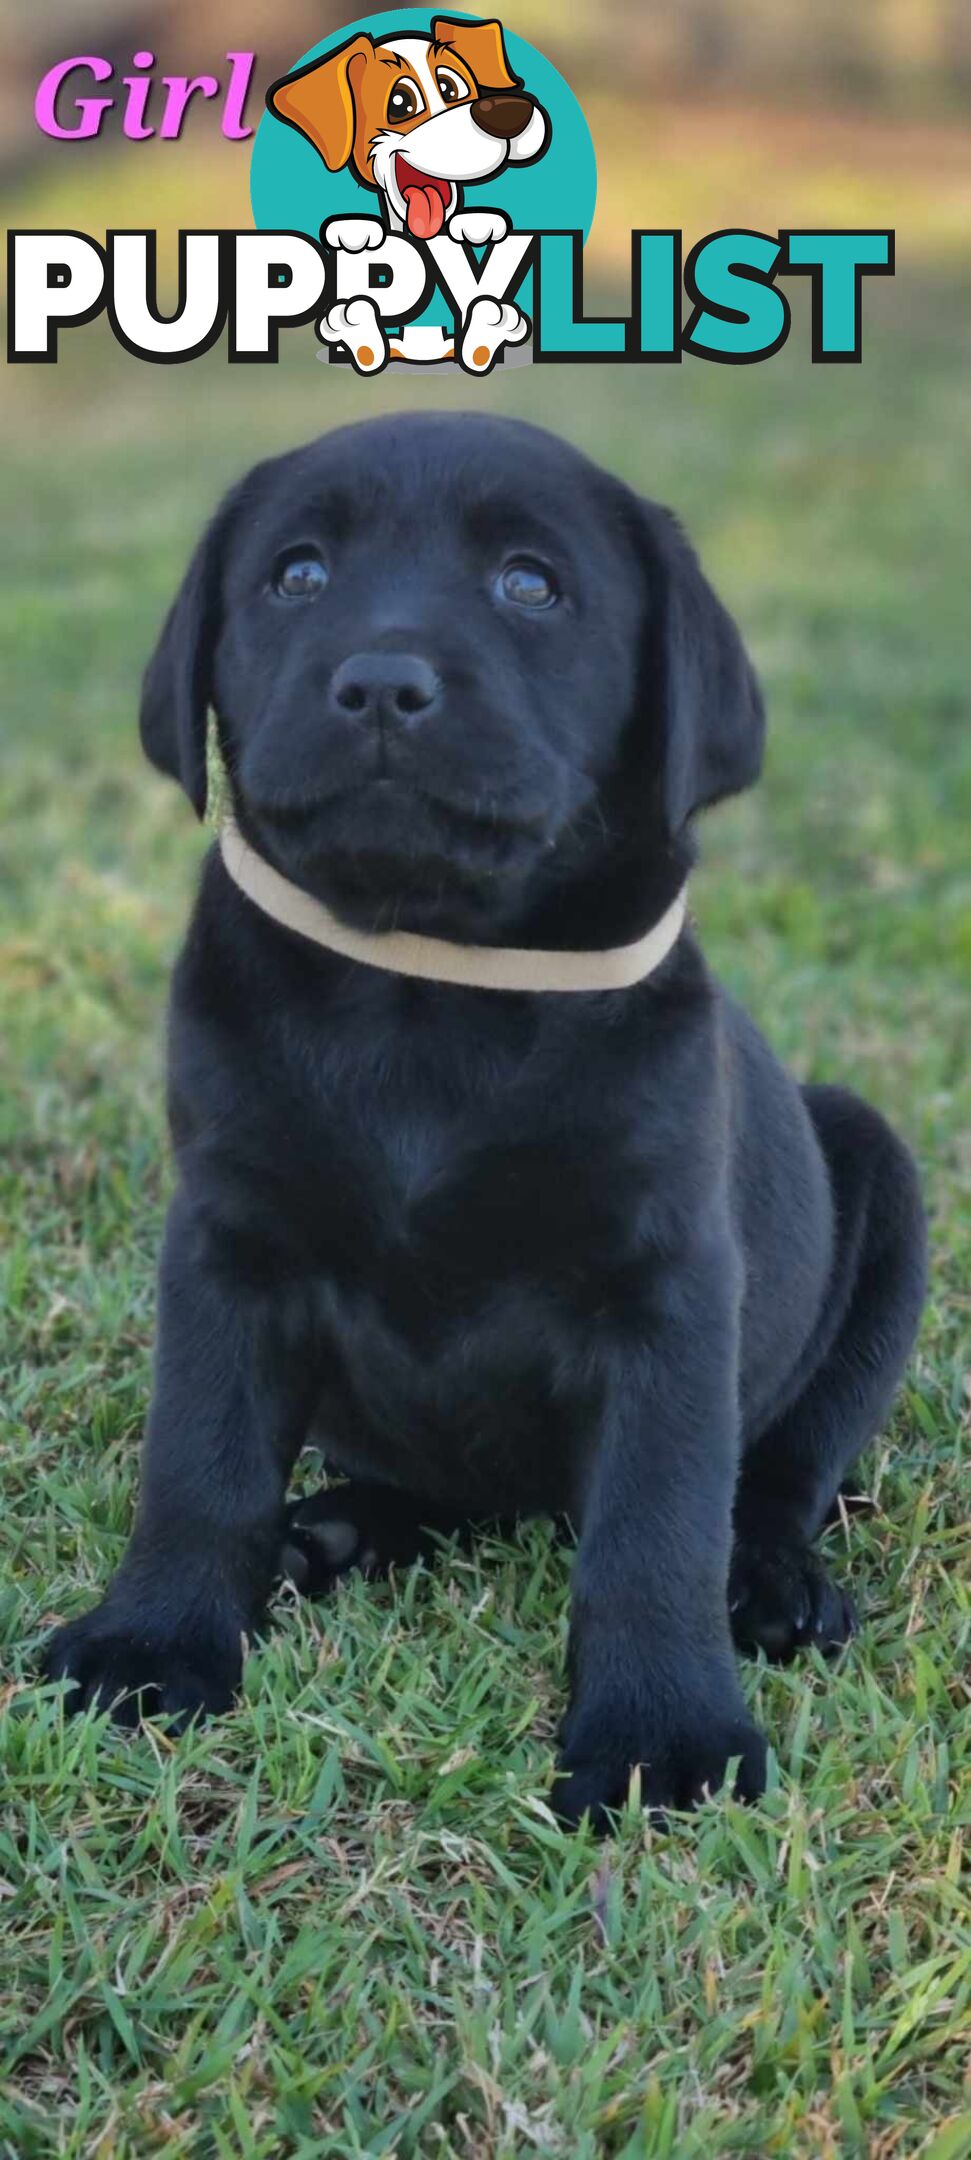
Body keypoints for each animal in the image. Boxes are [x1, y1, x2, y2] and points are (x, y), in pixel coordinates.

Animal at [43, 408, 923, 1823]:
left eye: (529, 584)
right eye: (296, 575)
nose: (379, 685)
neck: (429, 983)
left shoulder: (667, 1286)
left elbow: (655, 1527)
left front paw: (660, 1736)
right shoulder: (228, 1246)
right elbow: (199, 1461)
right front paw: (153, 1643)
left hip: (875, 1179)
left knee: (783, 1470)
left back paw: (770, 1584)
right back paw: (341, 1526)